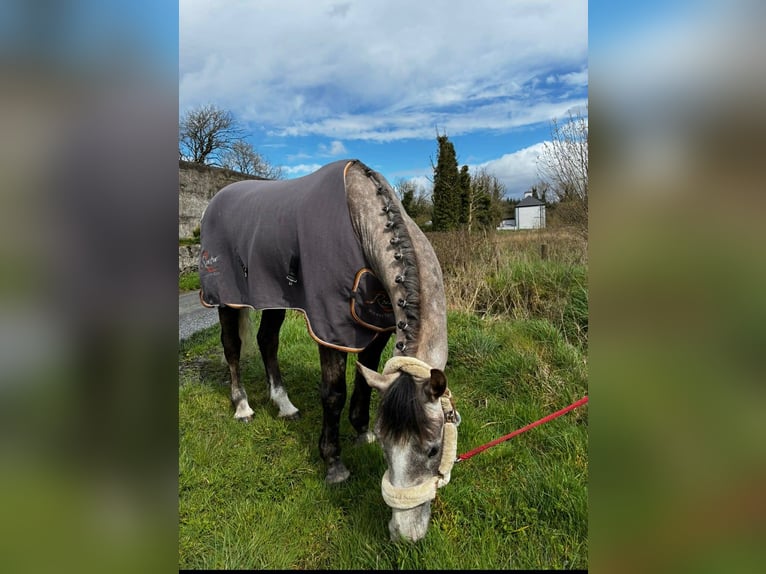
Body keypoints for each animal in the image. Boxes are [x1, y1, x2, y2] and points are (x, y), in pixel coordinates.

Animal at [198, 159, 460, 541]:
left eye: (433, 450)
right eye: (388, 450)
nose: (403, 534)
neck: (359, 221)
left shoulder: (375, 329)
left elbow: (364, 381)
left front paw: (362, 431)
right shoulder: (330, 330)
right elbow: (334, 393)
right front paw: (334, 464)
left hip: (274, 298)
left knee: (267, 341)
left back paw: (285, 405)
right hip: (225, 299)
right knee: (232, 348)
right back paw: (243, 406)